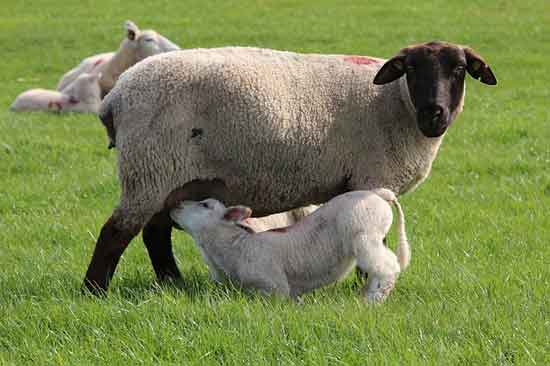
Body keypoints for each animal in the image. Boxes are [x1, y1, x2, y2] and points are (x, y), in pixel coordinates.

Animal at [170, 189, 412, 304]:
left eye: (205, 205)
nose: (174, 206)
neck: (236, 249)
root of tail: (380, 193)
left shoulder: (274, 286)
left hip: (365, 235)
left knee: (387, 266)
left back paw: (373, 300)